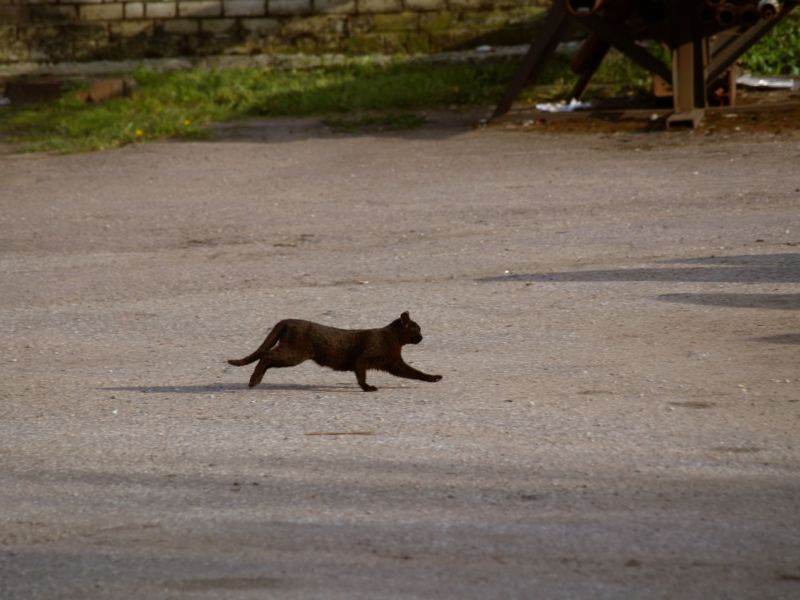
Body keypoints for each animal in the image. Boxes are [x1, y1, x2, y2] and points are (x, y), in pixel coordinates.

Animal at [228, 312, 444, 392]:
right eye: (417, 329)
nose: (422, 337)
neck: (393, 339)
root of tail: (289, 320)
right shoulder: (362, 359)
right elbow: (361, 375)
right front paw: (367, 388)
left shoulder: (394, 363)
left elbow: (415, 373)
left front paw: (434, 377)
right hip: (293, 354)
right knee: (266, 356)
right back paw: (253, 381)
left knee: (266, 357)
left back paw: (256, 381)